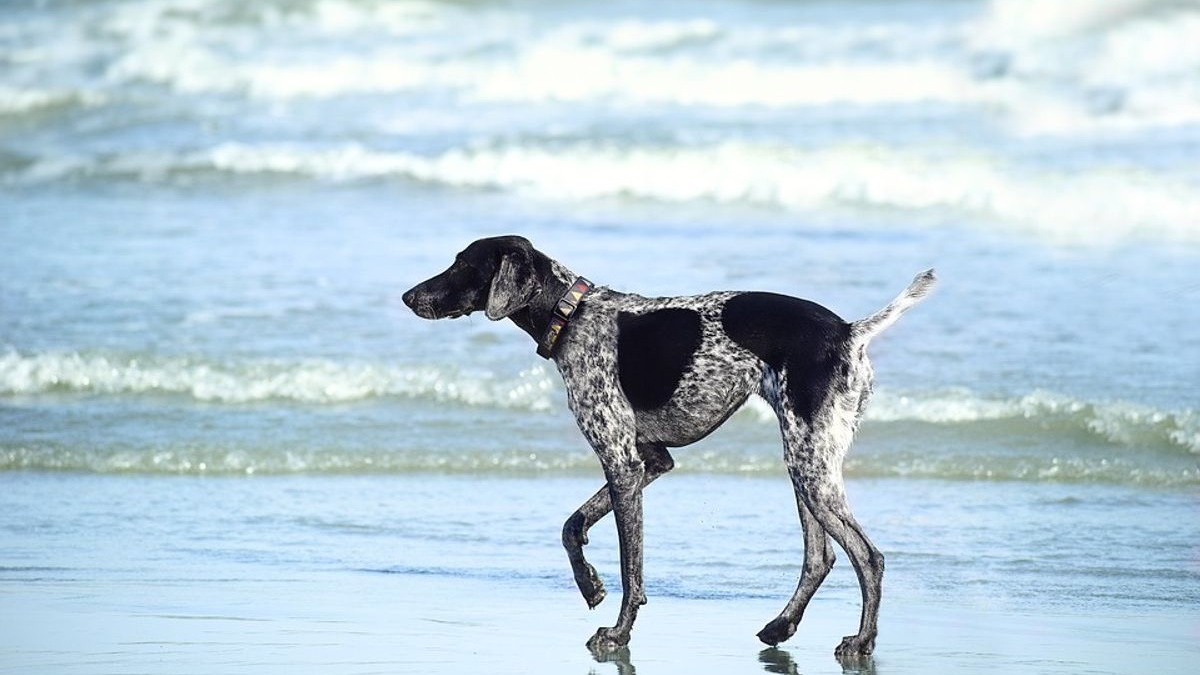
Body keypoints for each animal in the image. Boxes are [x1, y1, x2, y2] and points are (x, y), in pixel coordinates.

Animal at [403, 234, 936, 653]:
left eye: (462, 264)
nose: (408, 296)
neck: (571, 314)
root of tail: (849, 332)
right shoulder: (651, 461)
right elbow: (572, 526)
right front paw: (589, 585)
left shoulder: (623, 463)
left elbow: (630, 568)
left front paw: (618, 632)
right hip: (806, 465)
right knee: (820, 558)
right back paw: (781, 627)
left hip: (810, 467)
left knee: (867, 557)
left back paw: (862, 641)